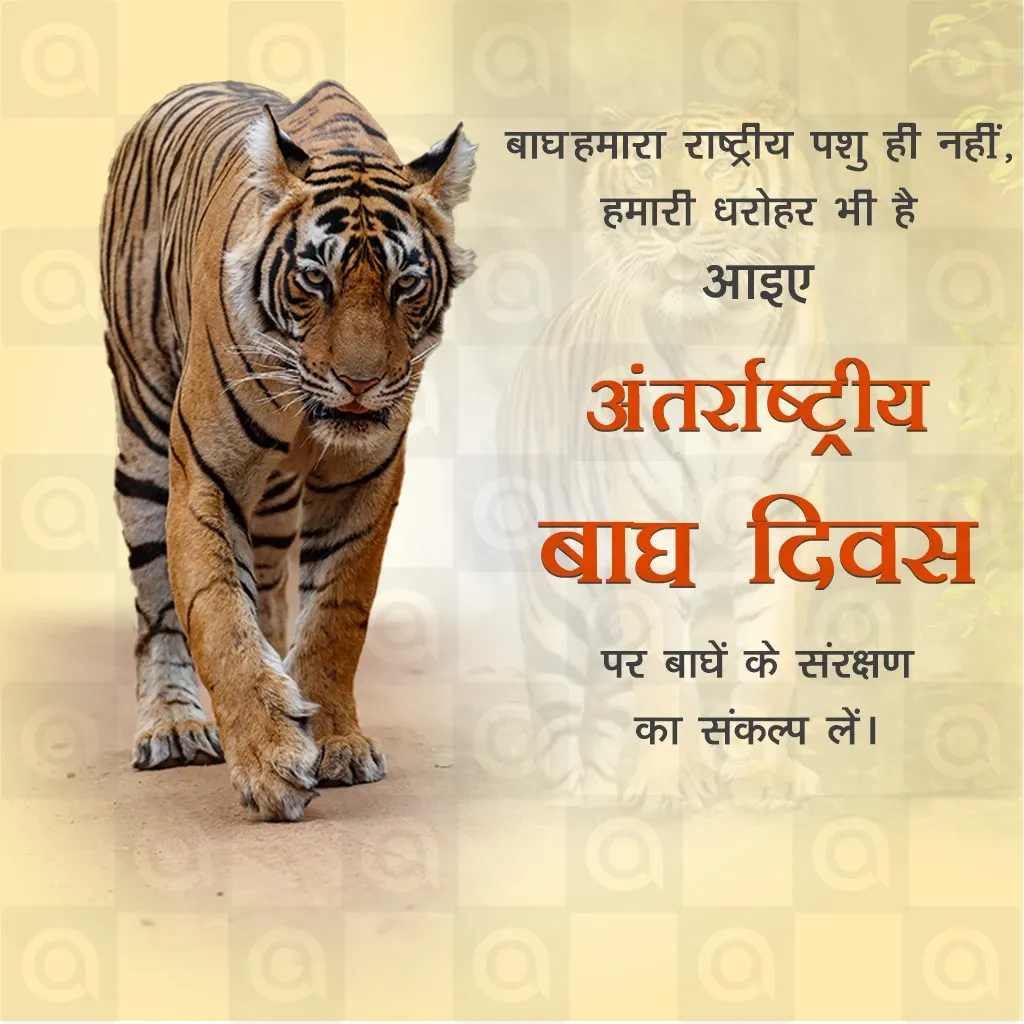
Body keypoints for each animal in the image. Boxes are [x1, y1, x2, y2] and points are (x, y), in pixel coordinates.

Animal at [100, 80, 476, 821]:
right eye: (315, 281)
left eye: (406, 285)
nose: (360, 383)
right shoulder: (204, 480)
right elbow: (218, 616)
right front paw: (270, 761)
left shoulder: (366, 481)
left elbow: (334, 617)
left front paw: (333, 741)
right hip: (144, 436)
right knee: (157, 607)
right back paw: (173, 726)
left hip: (272, 506)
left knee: (272, 585)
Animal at [497, 100, 824, 812]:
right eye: (645, 169)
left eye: (722, 166)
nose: (673, 220)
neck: (724, 340)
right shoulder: (652, 532)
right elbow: (667, 677)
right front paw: (669, 784)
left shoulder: (783, 527)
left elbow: (772, 662)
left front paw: (763, 776)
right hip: (549, 604)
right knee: (560, 723)